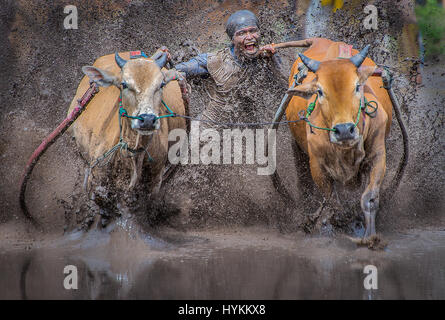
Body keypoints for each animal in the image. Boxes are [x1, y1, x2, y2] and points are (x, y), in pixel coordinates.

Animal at [284, 38, 392, 240]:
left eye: (357, 86)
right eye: (319, 91)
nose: (344, 131)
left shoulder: (378, 156)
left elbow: (369, 199)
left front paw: (370, 237)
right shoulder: (317, 165)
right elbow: (333, 203)